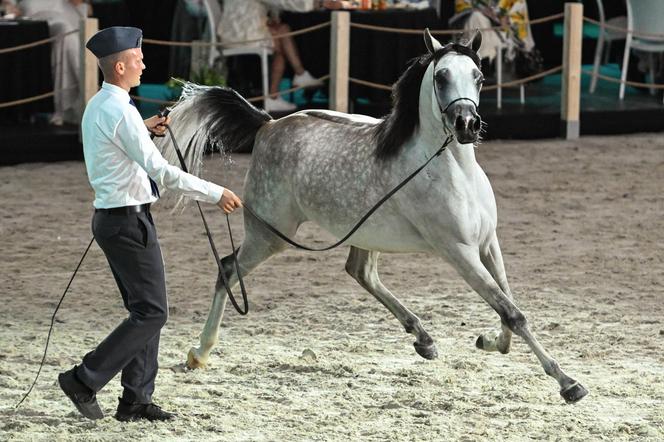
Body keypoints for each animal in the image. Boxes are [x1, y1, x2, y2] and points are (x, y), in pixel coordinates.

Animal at [158, 30, 588, 404]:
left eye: (479, 77)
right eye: (442, 77)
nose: (467, 124)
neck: (452, 169)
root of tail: (269, 124)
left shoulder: (487, 244)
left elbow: (509, 306)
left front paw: (489, 342)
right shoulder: (458, 252)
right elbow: (511, 311)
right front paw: (568, 383)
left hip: (363, 234)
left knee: (360, 271)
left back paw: (424, 339)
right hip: (271, 236)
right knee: (228, 268)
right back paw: (200, 351)